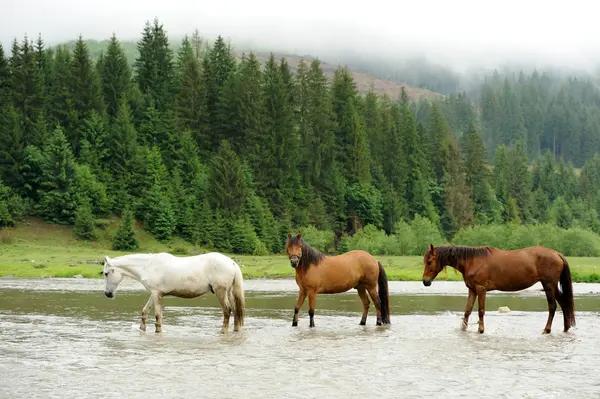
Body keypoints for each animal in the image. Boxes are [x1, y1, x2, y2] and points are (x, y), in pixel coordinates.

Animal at [102, 253, 245, 334]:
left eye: (106, 273)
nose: (107, 294)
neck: (148, 266)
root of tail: (232, 262)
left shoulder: (156, 294)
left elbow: (158, 315)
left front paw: (158, 331)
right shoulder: (154, 294)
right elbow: (145, 311)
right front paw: (142, 330)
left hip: (221, 292)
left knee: (227, 310)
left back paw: (223, 331)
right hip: (229, 292)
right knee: (236, 312)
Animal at [420, 244, 576, 334]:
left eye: (429, 261)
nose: (425, 281)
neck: (472, 260)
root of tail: (557, 254)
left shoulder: (481, 289)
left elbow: (481, 311)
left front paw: (481, 330)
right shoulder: (472, 290)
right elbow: (467, 311)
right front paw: (463, 329)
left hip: (548, 285)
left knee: (553, 306)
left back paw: (547, 329)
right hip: (552, 286)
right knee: (564, 303)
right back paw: (566, 328)